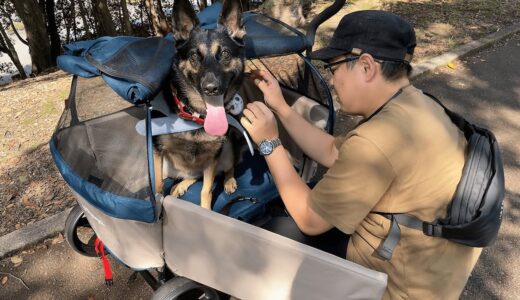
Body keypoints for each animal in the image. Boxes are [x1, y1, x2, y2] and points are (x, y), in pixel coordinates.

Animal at [153, 0, 247, 210]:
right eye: (194, 56)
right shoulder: (157, 151)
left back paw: (229, 181)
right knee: (192, 175)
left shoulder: (212, 157)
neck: (194, 115)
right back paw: (179, 186)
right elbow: (157, 185)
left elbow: (206, 190)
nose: (211, 89)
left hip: (227, 149)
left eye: (225, 54)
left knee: (225, 168)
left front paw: (206, 212)